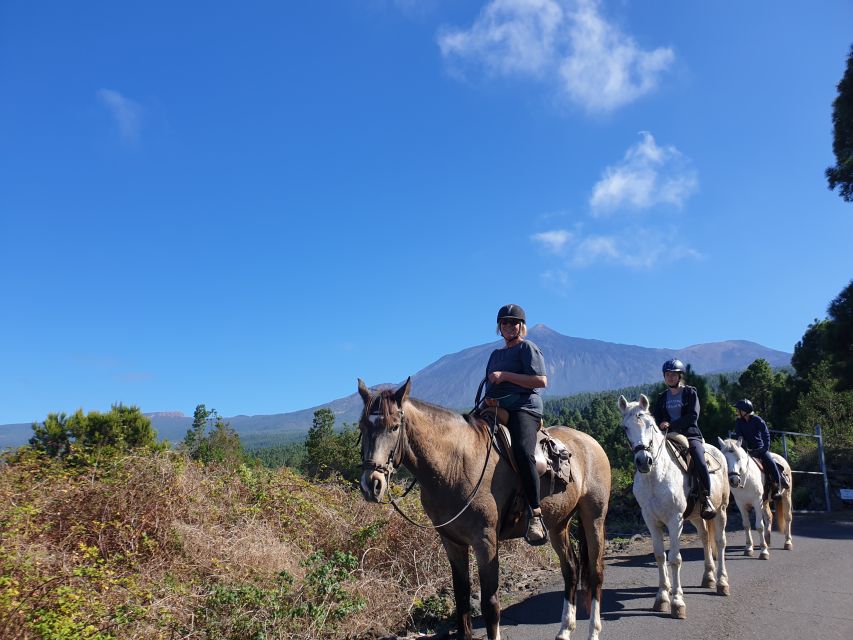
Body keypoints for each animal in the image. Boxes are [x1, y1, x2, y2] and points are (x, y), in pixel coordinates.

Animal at [356, 378, 608, 640]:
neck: (455, 465)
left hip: (594, 516)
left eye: (394, 427)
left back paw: (593, 631)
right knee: (571, 568)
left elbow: (490, 603)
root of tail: (589, 442)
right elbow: (462, 598)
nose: (371, 484)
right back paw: (565, 629)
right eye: (362, 426)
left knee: (596, 572)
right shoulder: (452, 542)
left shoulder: (485, 541)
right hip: (558, 524)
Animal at [616, 392, 728, 616]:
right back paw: (709, 578)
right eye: (625, 428)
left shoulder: (675, 521)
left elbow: (675, 559)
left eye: (650, 425)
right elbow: (660, 556)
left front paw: (677, 602)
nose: (644, 461)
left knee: (720, 542)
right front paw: (662, 598)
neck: (655, 477)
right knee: (705, 538)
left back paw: (722, 583)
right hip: (696, 516)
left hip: (721, 510)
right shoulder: (651, 521)